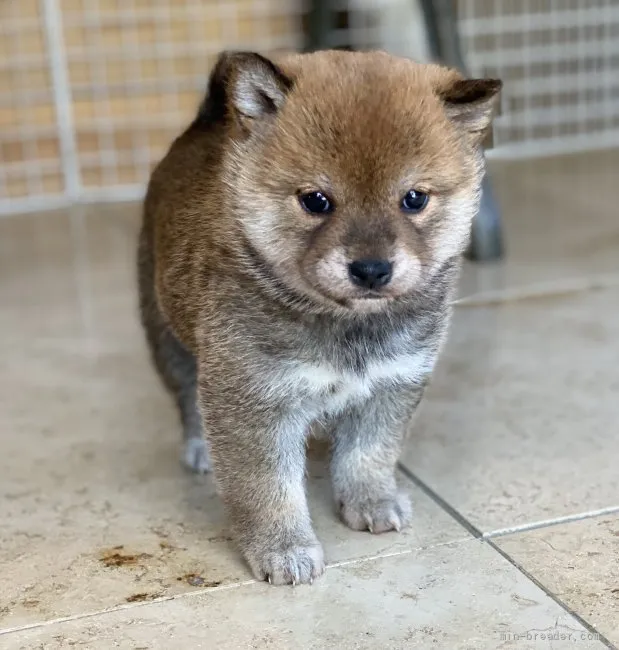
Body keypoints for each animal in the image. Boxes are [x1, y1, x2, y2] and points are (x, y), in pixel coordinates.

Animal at [138, 49, 502, 584]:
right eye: (316, 200)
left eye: (414, 198)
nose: (371, 269)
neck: (347, 326)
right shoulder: (254, 400)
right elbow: (267, 489)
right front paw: (284, 549)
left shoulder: (392, 385)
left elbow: (369, 456)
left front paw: (370, 501)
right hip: (167, 336)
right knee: (185, 395)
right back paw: (199, 445)